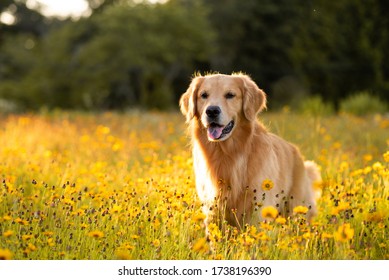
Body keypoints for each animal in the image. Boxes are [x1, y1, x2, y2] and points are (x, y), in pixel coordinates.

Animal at [180, 72, 320, 232]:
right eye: (204, 95)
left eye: (230, 95)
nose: (212, 111)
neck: (228, 154)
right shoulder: (212, 209)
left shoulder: (258, 211)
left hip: (296, 208)